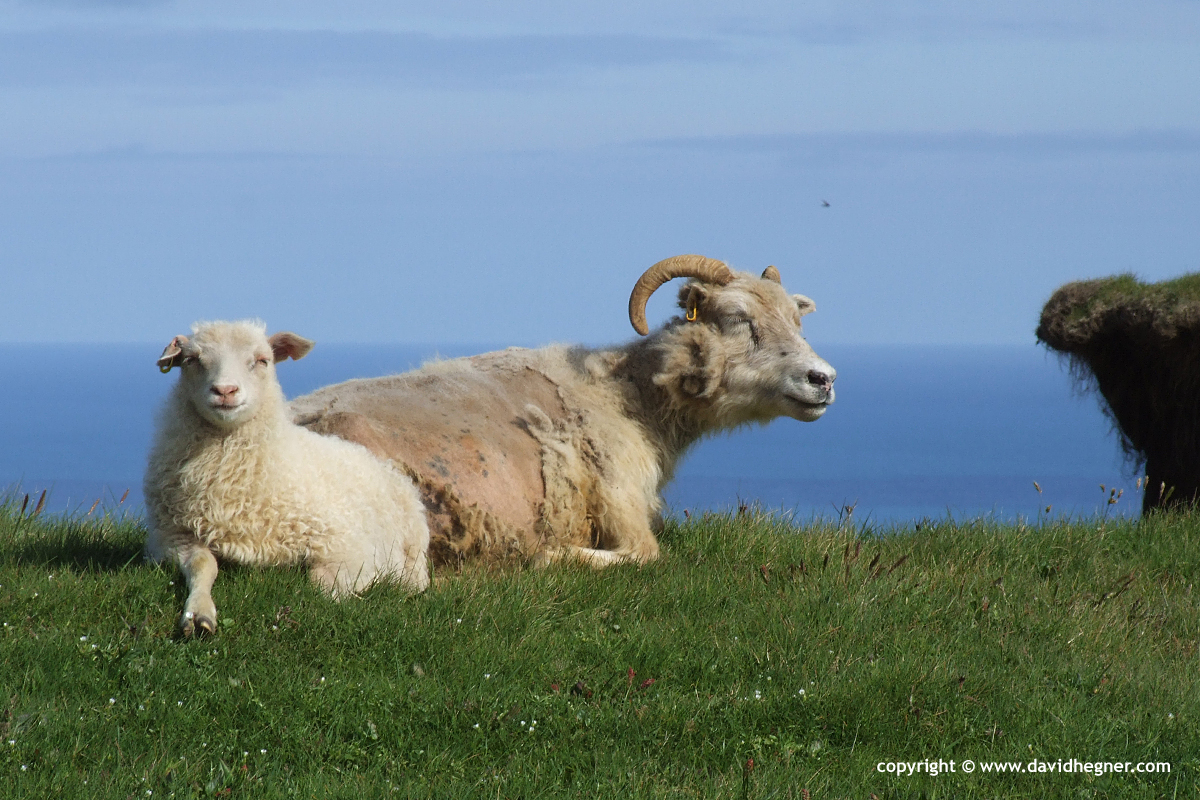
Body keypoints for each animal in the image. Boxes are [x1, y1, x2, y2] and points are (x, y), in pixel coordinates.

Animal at [144, 320, 430, 636]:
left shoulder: (348, 545)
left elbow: (320, 586)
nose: (225, 390)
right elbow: (203, 564)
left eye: (262, 360)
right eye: (192, 359)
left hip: (413, 548)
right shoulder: (173, 537)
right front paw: (198, 614)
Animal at [291, 254, 836, 568]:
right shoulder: (620, 501)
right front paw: (550, 554)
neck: (629, 395)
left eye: (797, 319)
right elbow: (644, 555)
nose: (824, 378)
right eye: (739, 319)